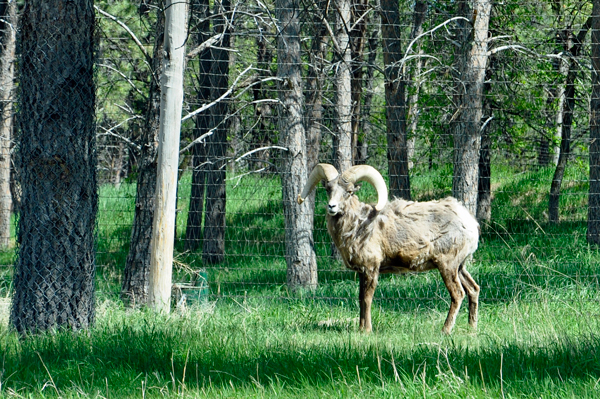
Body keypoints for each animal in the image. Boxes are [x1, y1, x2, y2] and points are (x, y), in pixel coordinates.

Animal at [298, 162, 480, 334]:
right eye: (328, 189)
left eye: (349, 191)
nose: (332, 207)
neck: (358, 226)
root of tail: (469, 223)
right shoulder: (362, 272)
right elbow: (360, 298)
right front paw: (360, 328)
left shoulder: (371, 268)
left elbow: (367, 299)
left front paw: (367, 330)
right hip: (459, 267)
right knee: (473, 289)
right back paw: (471, 328)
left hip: (447, 266)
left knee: (458, 294)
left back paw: (445, 330)